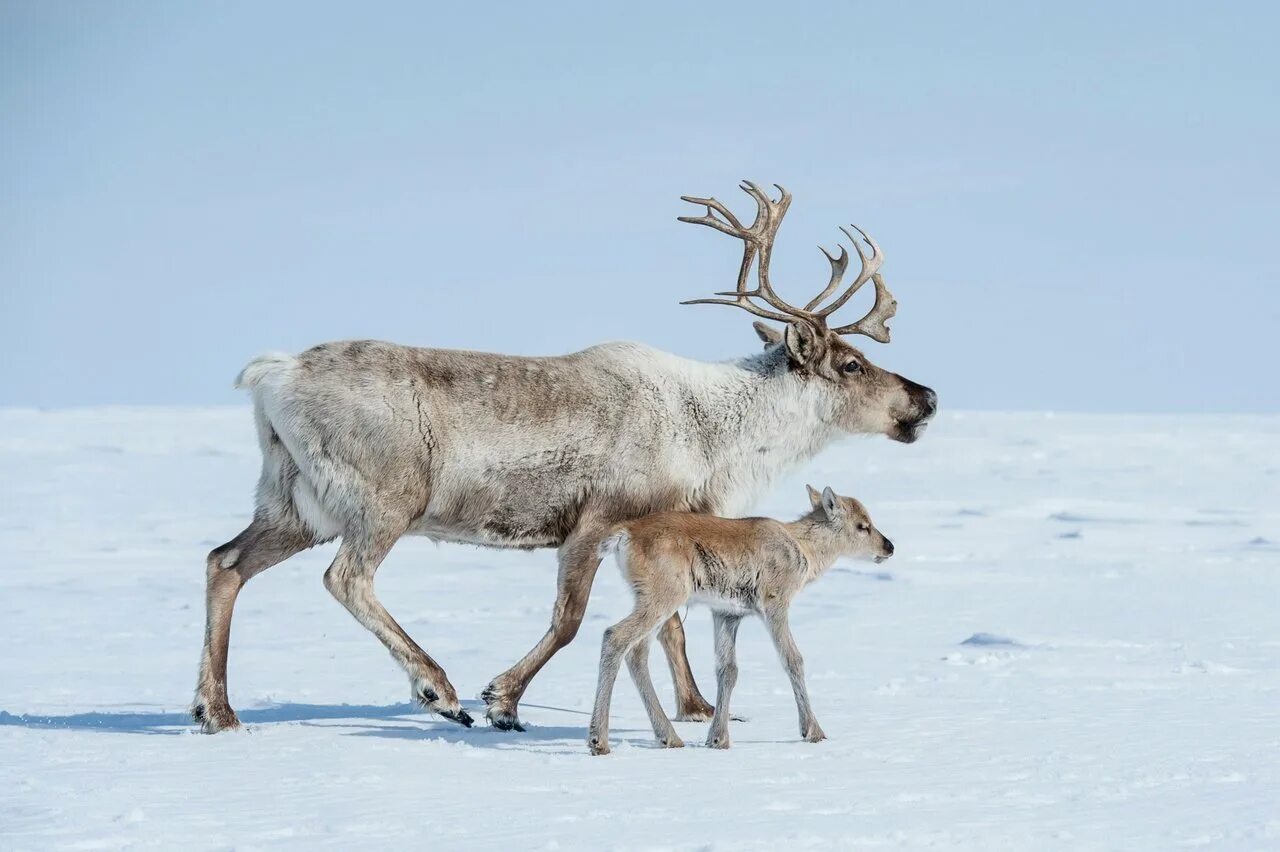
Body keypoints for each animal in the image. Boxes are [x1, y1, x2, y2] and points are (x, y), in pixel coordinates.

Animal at [586, 481, 896, 752]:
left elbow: (728, 669)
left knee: (637, 652)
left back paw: (669, 737)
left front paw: (718, 738)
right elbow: (793, 660)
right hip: (664, 597)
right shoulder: (775, 604)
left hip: (652, 600)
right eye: (863, 526)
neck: (803, 549)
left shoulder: (727, 614)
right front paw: (813, 731)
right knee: (614, 636)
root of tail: (624, 534)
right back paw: (599, 741)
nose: (889, 547)